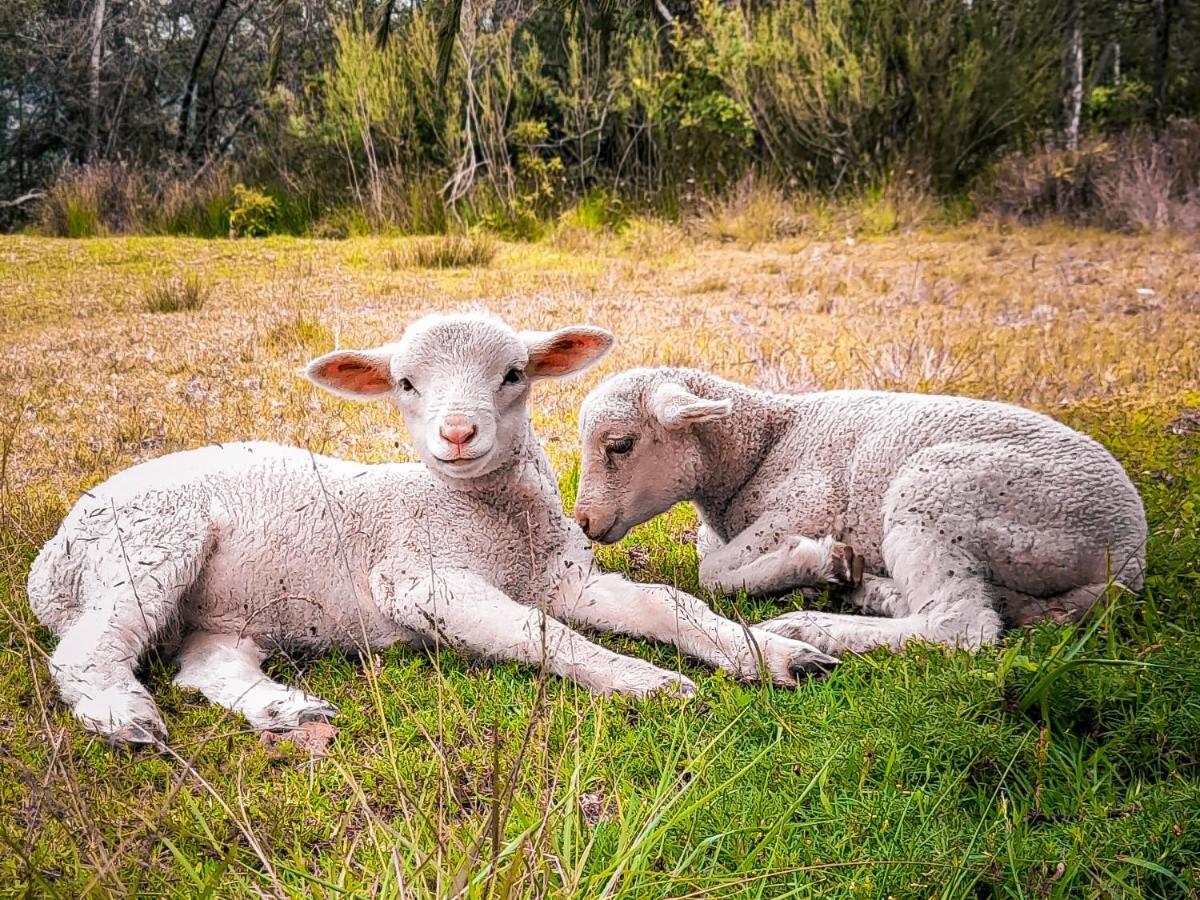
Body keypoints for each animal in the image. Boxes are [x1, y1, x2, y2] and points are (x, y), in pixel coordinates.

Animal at [28, 314, 835, 748]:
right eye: (405, 384)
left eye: (514, 374)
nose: (457, 433)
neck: (484, 515)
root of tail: (50, 559)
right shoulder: (419, 580)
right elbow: (544, 634)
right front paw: (644, 680)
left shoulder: (562, 576)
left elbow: (667, 604)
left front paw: (773, 655)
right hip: (147, 548)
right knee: (88, 651)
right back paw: (124, 717)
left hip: (225, 611)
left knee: (207, 666)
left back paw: (287, 709)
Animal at [576, 367, 1147, 657]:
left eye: (621, 444)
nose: (582, 521)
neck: (761, 445)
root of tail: (1131, 549)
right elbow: (712, 563)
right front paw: (822, 571)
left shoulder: (810, 500)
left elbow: (712, 574)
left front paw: (810, 561)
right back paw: (865, 588)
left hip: (943, 494)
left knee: (960, 624)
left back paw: (811, 623)